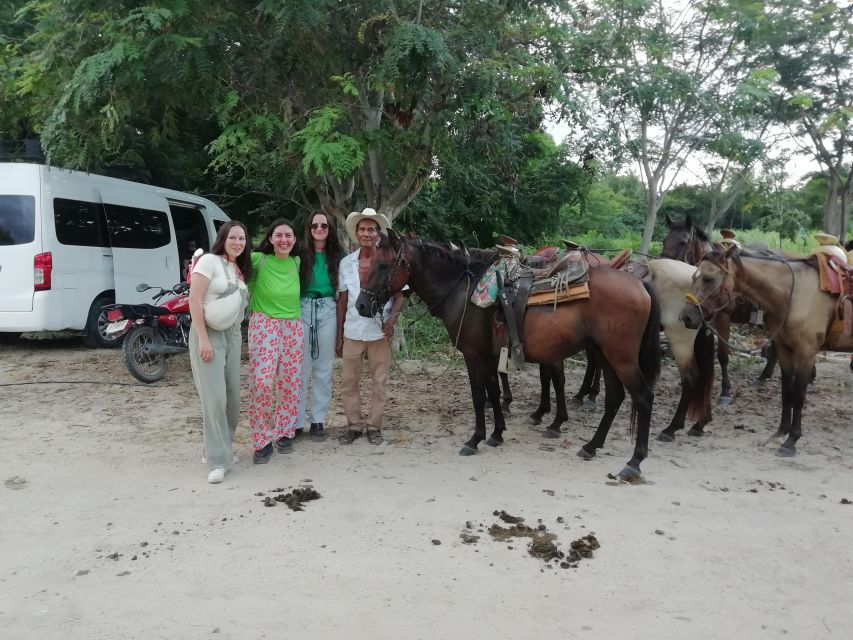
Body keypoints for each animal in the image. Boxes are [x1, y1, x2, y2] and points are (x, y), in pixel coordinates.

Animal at [356, 230, 664, 476]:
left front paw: (475, 439)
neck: (464, 292)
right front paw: (496, 434)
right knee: (614, 398)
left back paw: (634, 462)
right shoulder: (490, 356)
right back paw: (591, 446)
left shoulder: (473, 355)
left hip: (621, 357)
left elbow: (479, 396)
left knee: (643, 397)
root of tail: (640, 283)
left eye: (383, 264)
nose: (361, 305)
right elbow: (494, 393)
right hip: (605, 355)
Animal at [680, 242, 852, 458]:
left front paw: (791, 441)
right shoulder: (785, 349)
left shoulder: (806, 352)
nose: (686, 317)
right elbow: (787, 392)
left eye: (708, 278)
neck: (794, 294)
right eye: (694, 277)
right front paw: (780, 433)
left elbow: (799, 396)